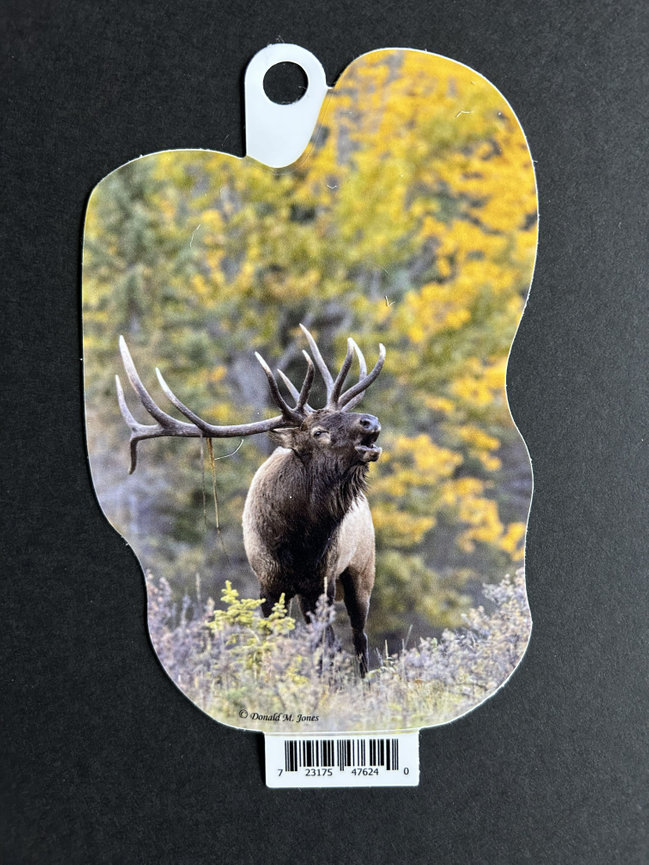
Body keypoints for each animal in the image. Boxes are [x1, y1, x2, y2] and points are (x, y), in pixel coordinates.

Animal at [116, 325, 385, 675]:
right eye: (318, 432)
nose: (370, 422)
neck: (297, 542)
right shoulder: (267, 583)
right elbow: (269, 642)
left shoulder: (321, 581)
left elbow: (324, 648)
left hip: (360, 570)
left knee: (358, 639)